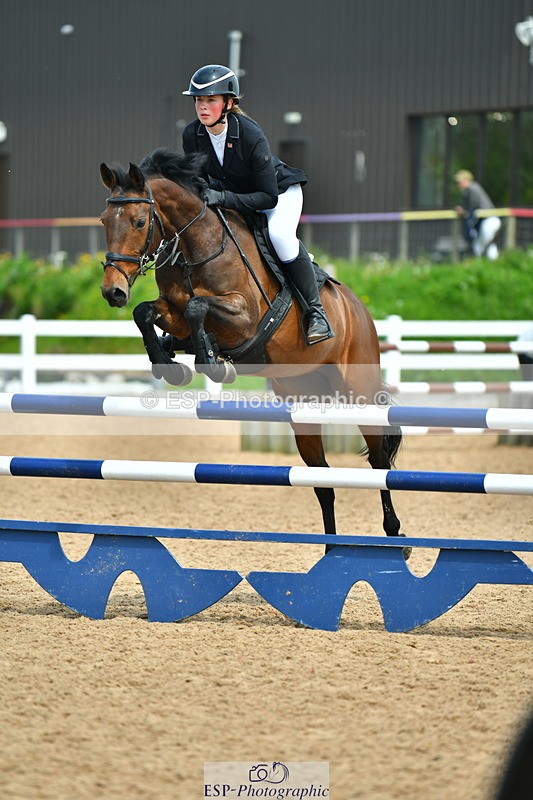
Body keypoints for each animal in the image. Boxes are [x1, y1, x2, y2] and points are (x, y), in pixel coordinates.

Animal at [99, 148, 404, 548]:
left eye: (138, 221)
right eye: (104, 221)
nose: (112, 291)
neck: (195, 247)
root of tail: (359, 311)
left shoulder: (244, 318)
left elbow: (198, 307)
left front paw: (212, 361)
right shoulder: (173, 312)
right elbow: (146, 311)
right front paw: (169, 362)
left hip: (360, 391)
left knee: (379, 461)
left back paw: (395, 537)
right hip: (302, 404)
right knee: (322, 481)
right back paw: (332, 549)